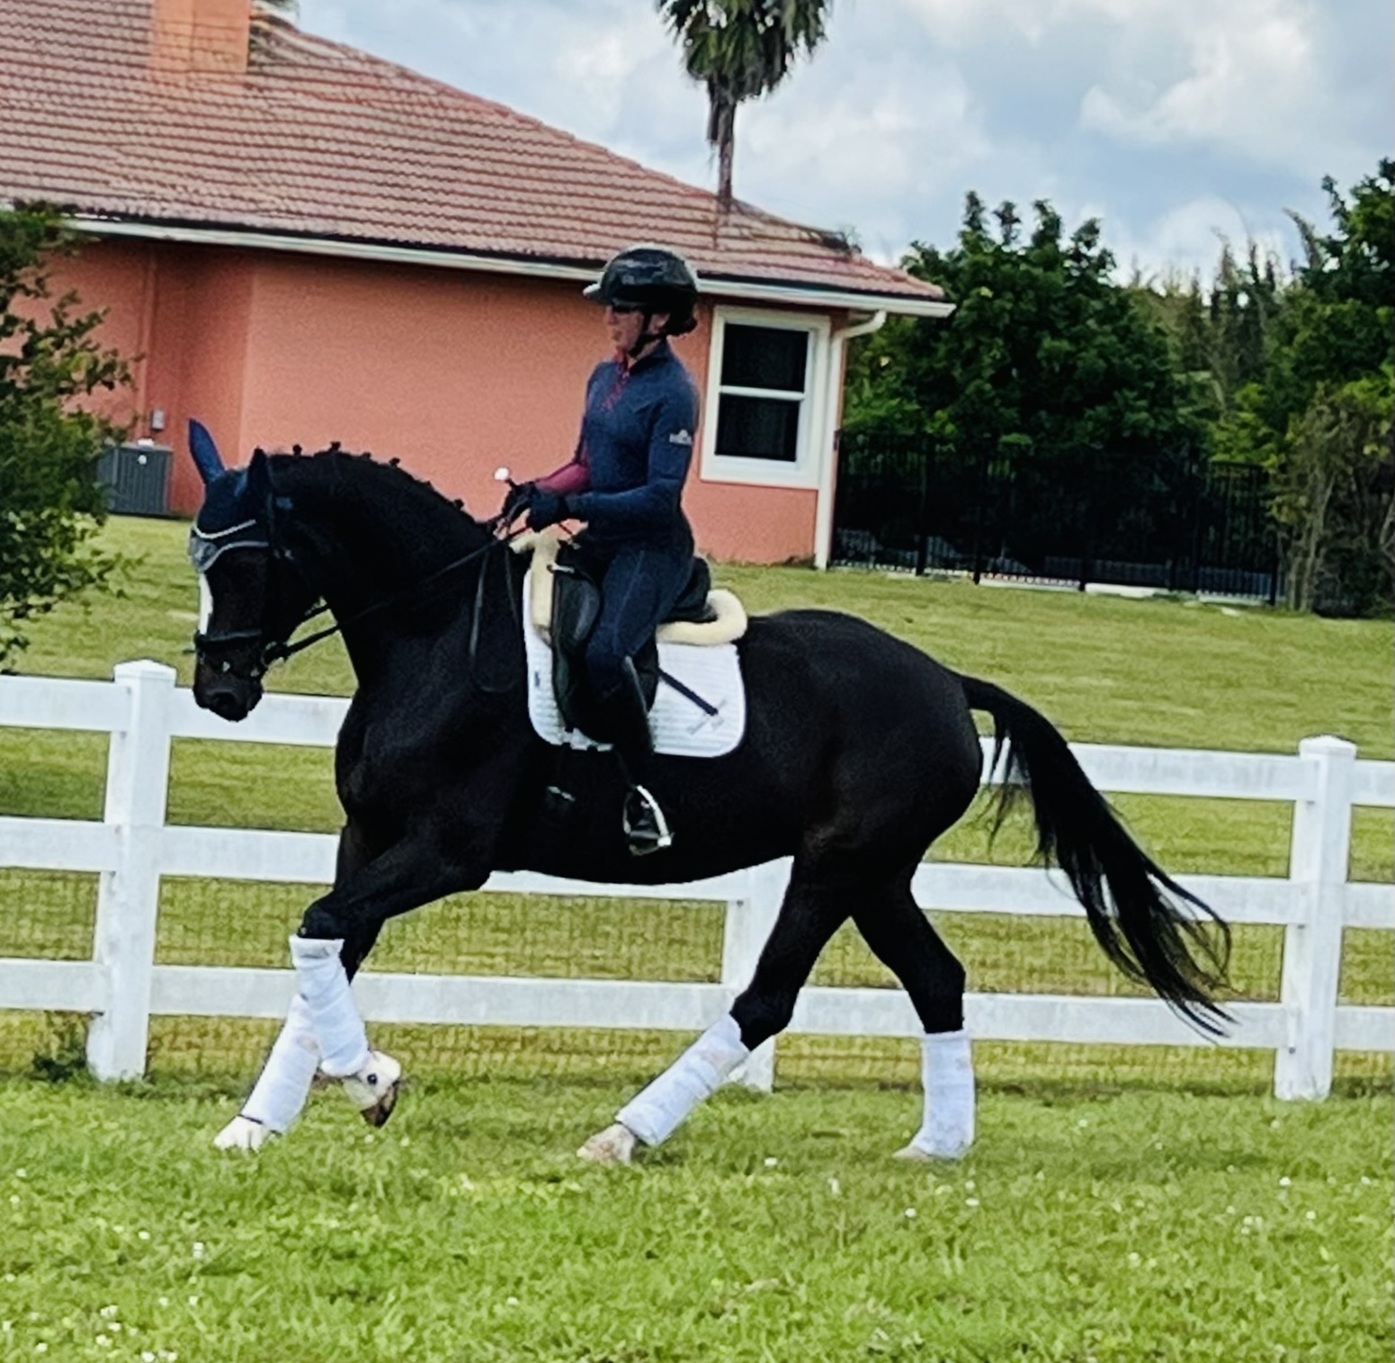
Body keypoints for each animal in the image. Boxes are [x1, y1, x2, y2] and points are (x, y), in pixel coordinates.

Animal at [186, 431, 1231, 1162]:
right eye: (202, 562)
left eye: (248, 561)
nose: (219, 691)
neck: (436, 632)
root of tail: (944, 681)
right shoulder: (368, 838)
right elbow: (324, 946)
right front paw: (261, 1122)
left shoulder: (446, 853)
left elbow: (323, 929)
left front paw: (372, 1081)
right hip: (878, 875)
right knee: (937, 979)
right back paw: (936, 1144)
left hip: (834, 867)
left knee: (766, 998)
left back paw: (622, 1135)